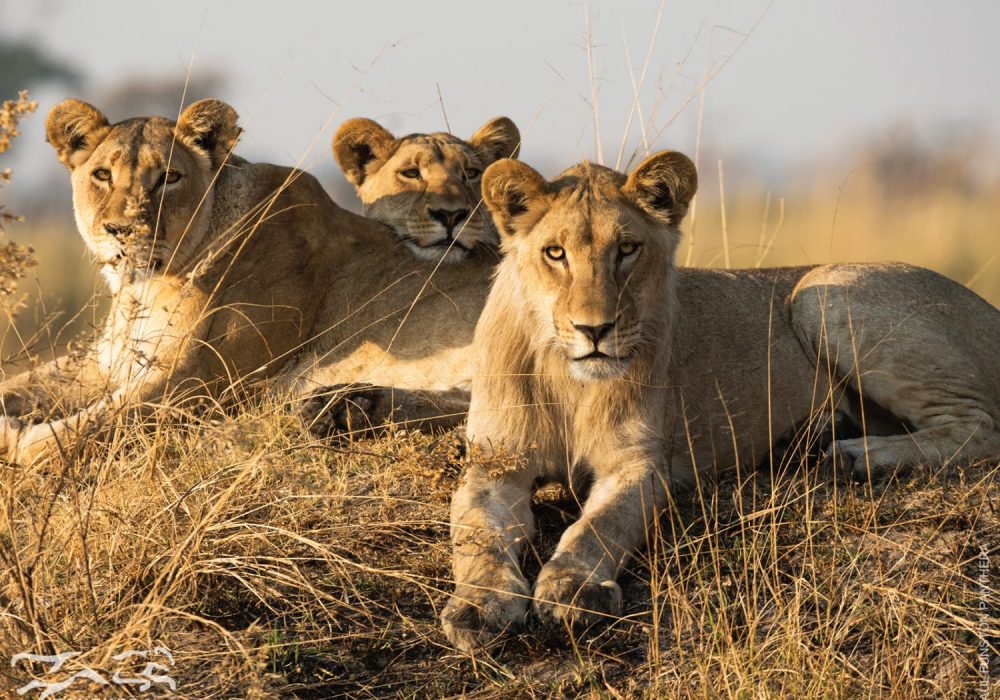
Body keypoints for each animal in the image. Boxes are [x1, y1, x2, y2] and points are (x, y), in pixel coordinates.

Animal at [0, 98, 495, 463]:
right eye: (102, 175)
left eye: (169, 178)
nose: (121, 230)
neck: (146, 288)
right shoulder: (102, 366)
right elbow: (22, 386)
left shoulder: (199, 381)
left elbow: (82, 430)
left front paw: (19, 441)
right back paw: (344, 408)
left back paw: (340, 410)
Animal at [441, 152, 1000, 651]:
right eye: (555, 253)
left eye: (627, 248)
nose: (593, 330)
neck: (570, 381)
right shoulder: (494, 465)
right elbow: (476, 532)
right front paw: (479, 605)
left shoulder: (640, 465)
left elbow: (598, 525)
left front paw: (573, 587)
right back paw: (815, 438)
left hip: (821, 291)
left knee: (980, 428)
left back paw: (855, 457)